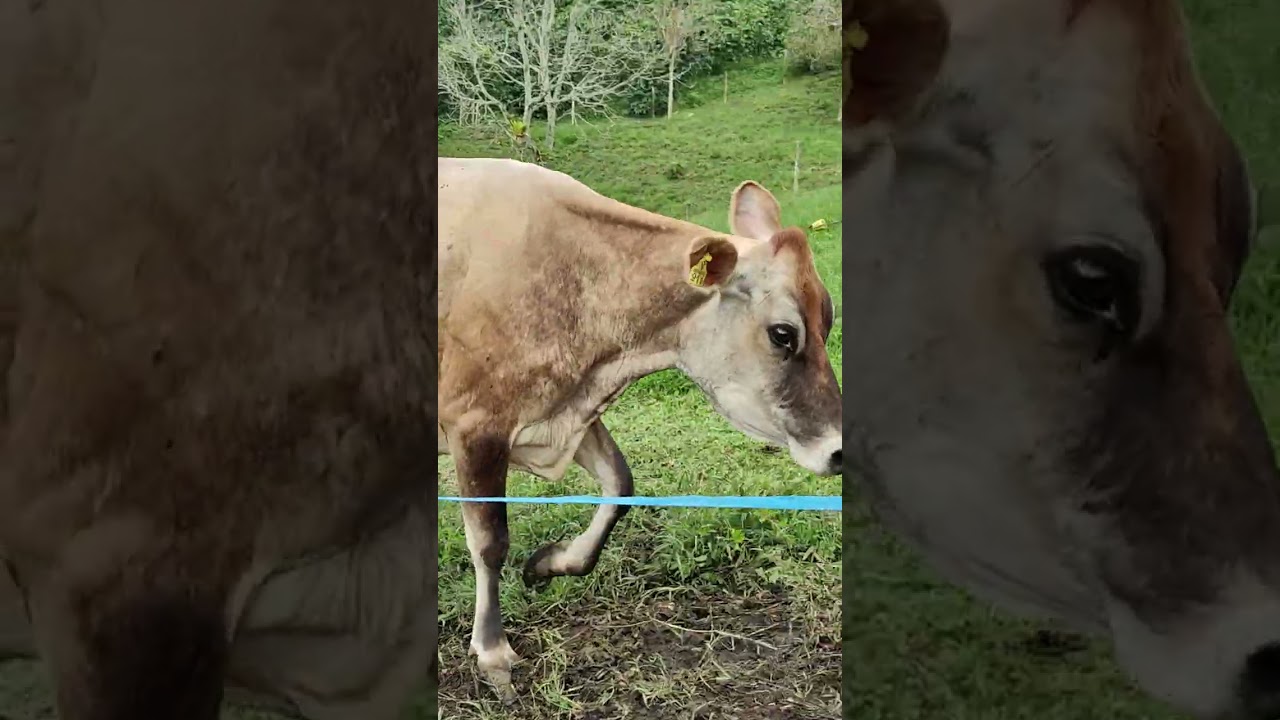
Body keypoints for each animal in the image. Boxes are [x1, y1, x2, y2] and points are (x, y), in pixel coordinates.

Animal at [436, 156, 843, 702]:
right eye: (783, 333)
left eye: (829, 319)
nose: (840, 450)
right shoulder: (476, 424)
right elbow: (489, 542)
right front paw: (493, 653)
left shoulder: (570, 411)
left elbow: (620, 485)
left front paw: (549, 563)